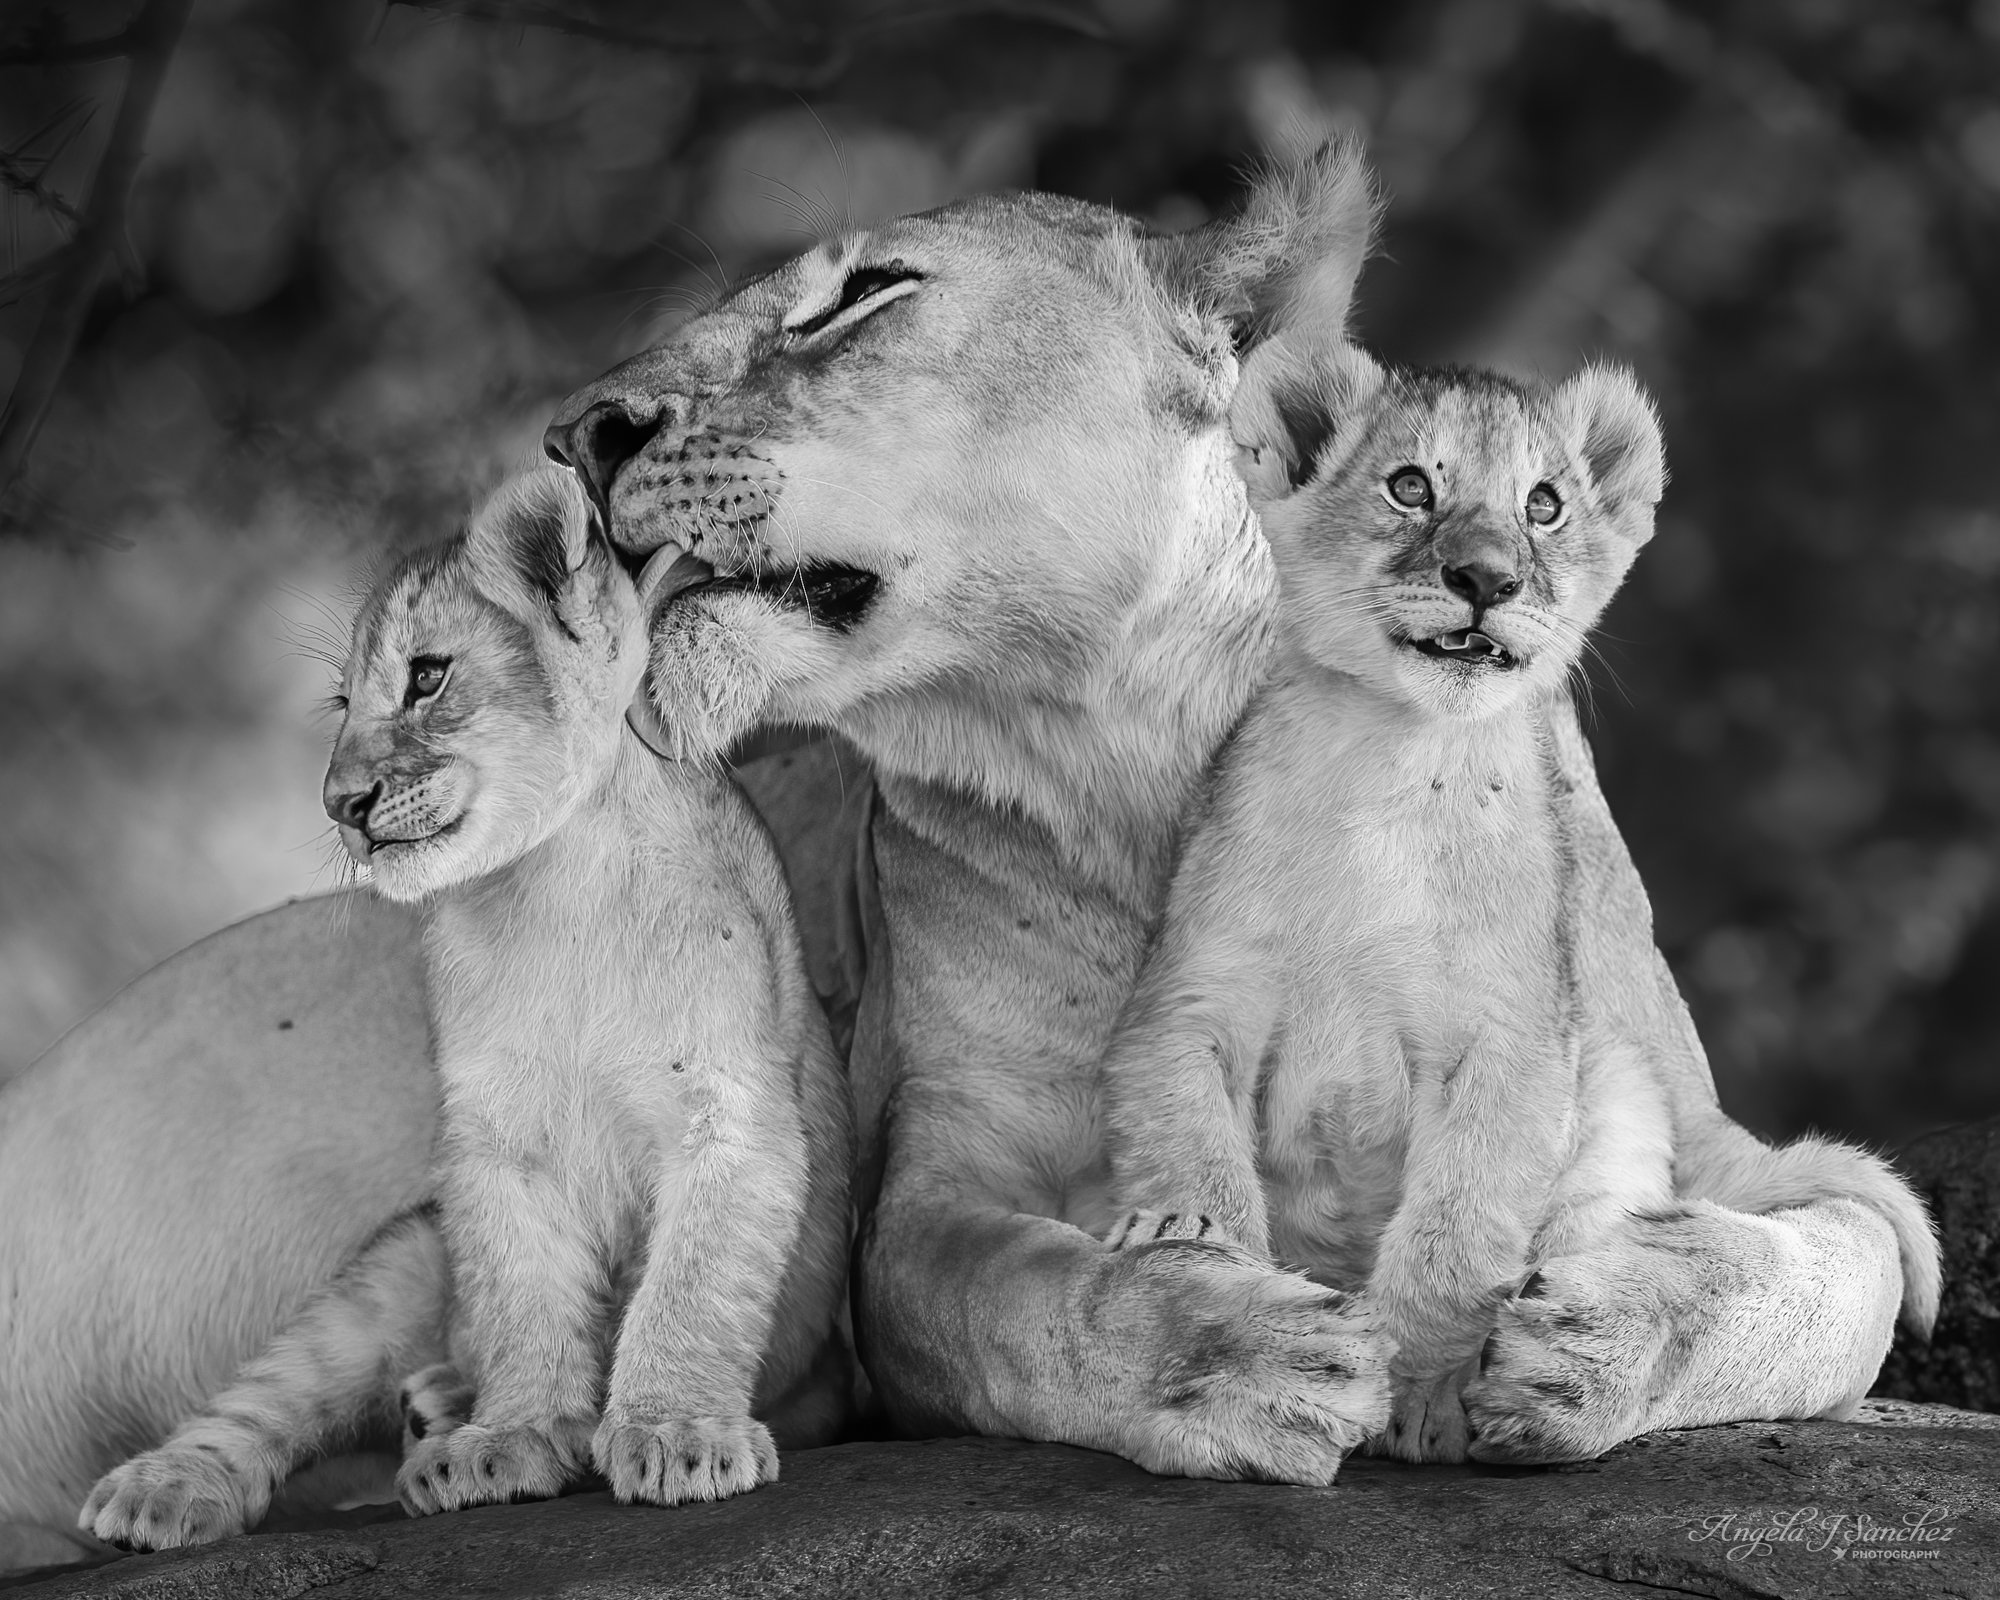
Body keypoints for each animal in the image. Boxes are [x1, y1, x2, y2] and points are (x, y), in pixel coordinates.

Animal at [70, 468, 852, 1550]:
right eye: (343, 703)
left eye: (428, 677)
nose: (339, 804)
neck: (557, 886)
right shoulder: (494, 1136)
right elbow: (522, 1295)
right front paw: (512, 1434)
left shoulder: (730, 1112)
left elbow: (689, 1289)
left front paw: (673, 1430)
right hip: (398, 1264)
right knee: (270, 1398)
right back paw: (176, 1483)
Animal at [1098, 346, 1939, 1466]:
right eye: (1411, 484)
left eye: (1542, 505)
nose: (1487, 579)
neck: (1396, 753)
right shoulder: (1192, 996)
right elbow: (1189, 1138)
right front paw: (1197, 1252)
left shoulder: (1512, 1036)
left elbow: (1459, 1220)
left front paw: (1419, 1387)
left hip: (1618, 1090)